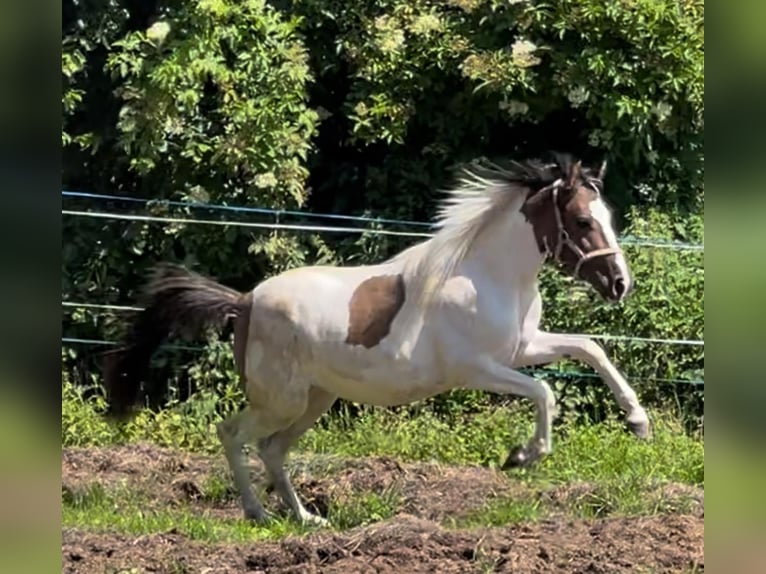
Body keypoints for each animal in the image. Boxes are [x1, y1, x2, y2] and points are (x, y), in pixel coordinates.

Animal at [103, 154, 656, 532]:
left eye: (608, 217)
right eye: (583, 221)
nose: (619, 284)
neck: (490, 277)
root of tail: (246, 301)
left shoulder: (522, 348)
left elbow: (589, 348)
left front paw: (638, 422)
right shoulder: (479, 368)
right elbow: (546, 391)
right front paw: (523, 456)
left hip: (313, 400)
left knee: (272, 449)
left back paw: (306, 518)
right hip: (280, 400)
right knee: (233, 433)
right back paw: (258, 512)